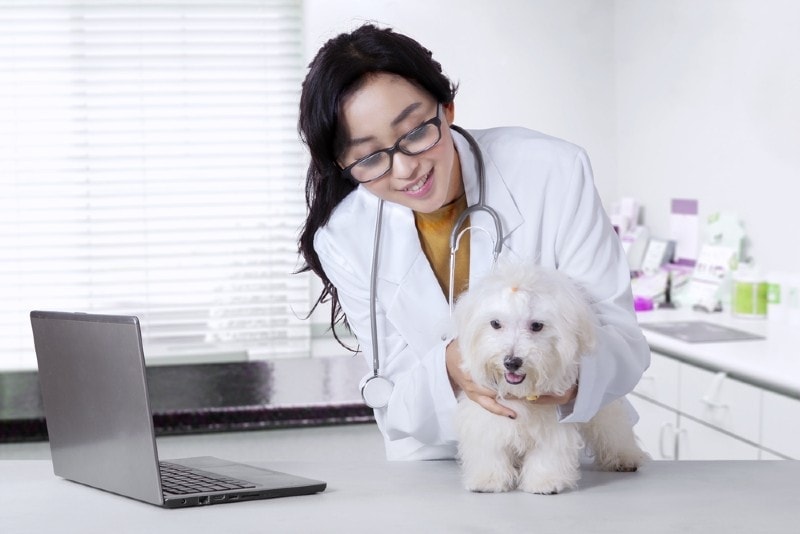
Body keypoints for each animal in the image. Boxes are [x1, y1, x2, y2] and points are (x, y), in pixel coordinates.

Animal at [454, 262, 648, 496]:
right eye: (495, 323)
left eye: (537, 326)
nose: (512, 362)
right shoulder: (486, 416)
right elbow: (489, 446)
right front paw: (488, 479)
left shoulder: (554, 424)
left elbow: (549, 450)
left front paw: (545, 481)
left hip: (603, 403)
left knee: (612, 428)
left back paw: (624, 457)